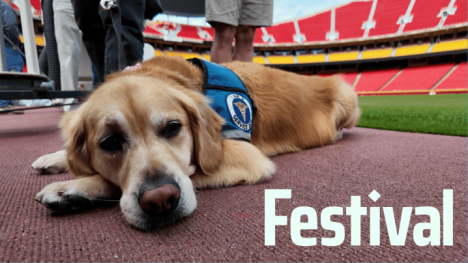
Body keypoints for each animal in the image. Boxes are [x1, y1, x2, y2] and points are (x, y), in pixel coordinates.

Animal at [33, 56, 360, 231]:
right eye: (110, 142)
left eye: (173, 127)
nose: (160, 200)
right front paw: (55, 159)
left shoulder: (244, 154)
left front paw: (75, 187)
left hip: (347, 95)